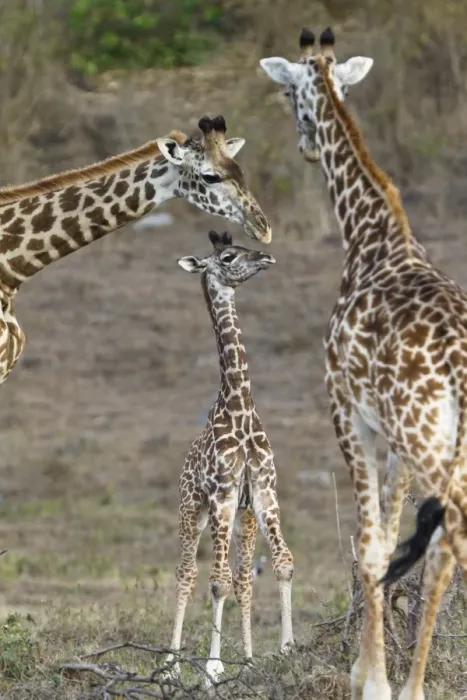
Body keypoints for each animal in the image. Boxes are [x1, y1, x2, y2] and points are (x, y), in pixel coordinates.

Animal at [165, 230, 294, 686]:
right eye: (228, 257)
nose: (267, 256)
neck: (240, 406)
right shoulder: (220, 495)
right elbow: (216, 581)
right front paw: (212, 668)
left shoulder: (264, 491)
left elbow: (281, 564)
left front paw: (286, 650)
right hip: (193, 509)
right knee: (186, 574)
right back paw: (169, 666)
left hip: (244, 516)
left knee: (242, 579)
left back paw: (248, 659)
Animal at [260, 27, 467, 700]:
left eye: (287, 94)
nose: (304, 146)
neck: (372, 237)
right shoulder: (393, 437)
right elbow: (398, 541)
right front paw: (391, 680)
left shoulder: (348, 412)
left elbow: (371, 546)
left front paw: (372, 680)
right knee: (443, 547)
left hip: (427, 437)